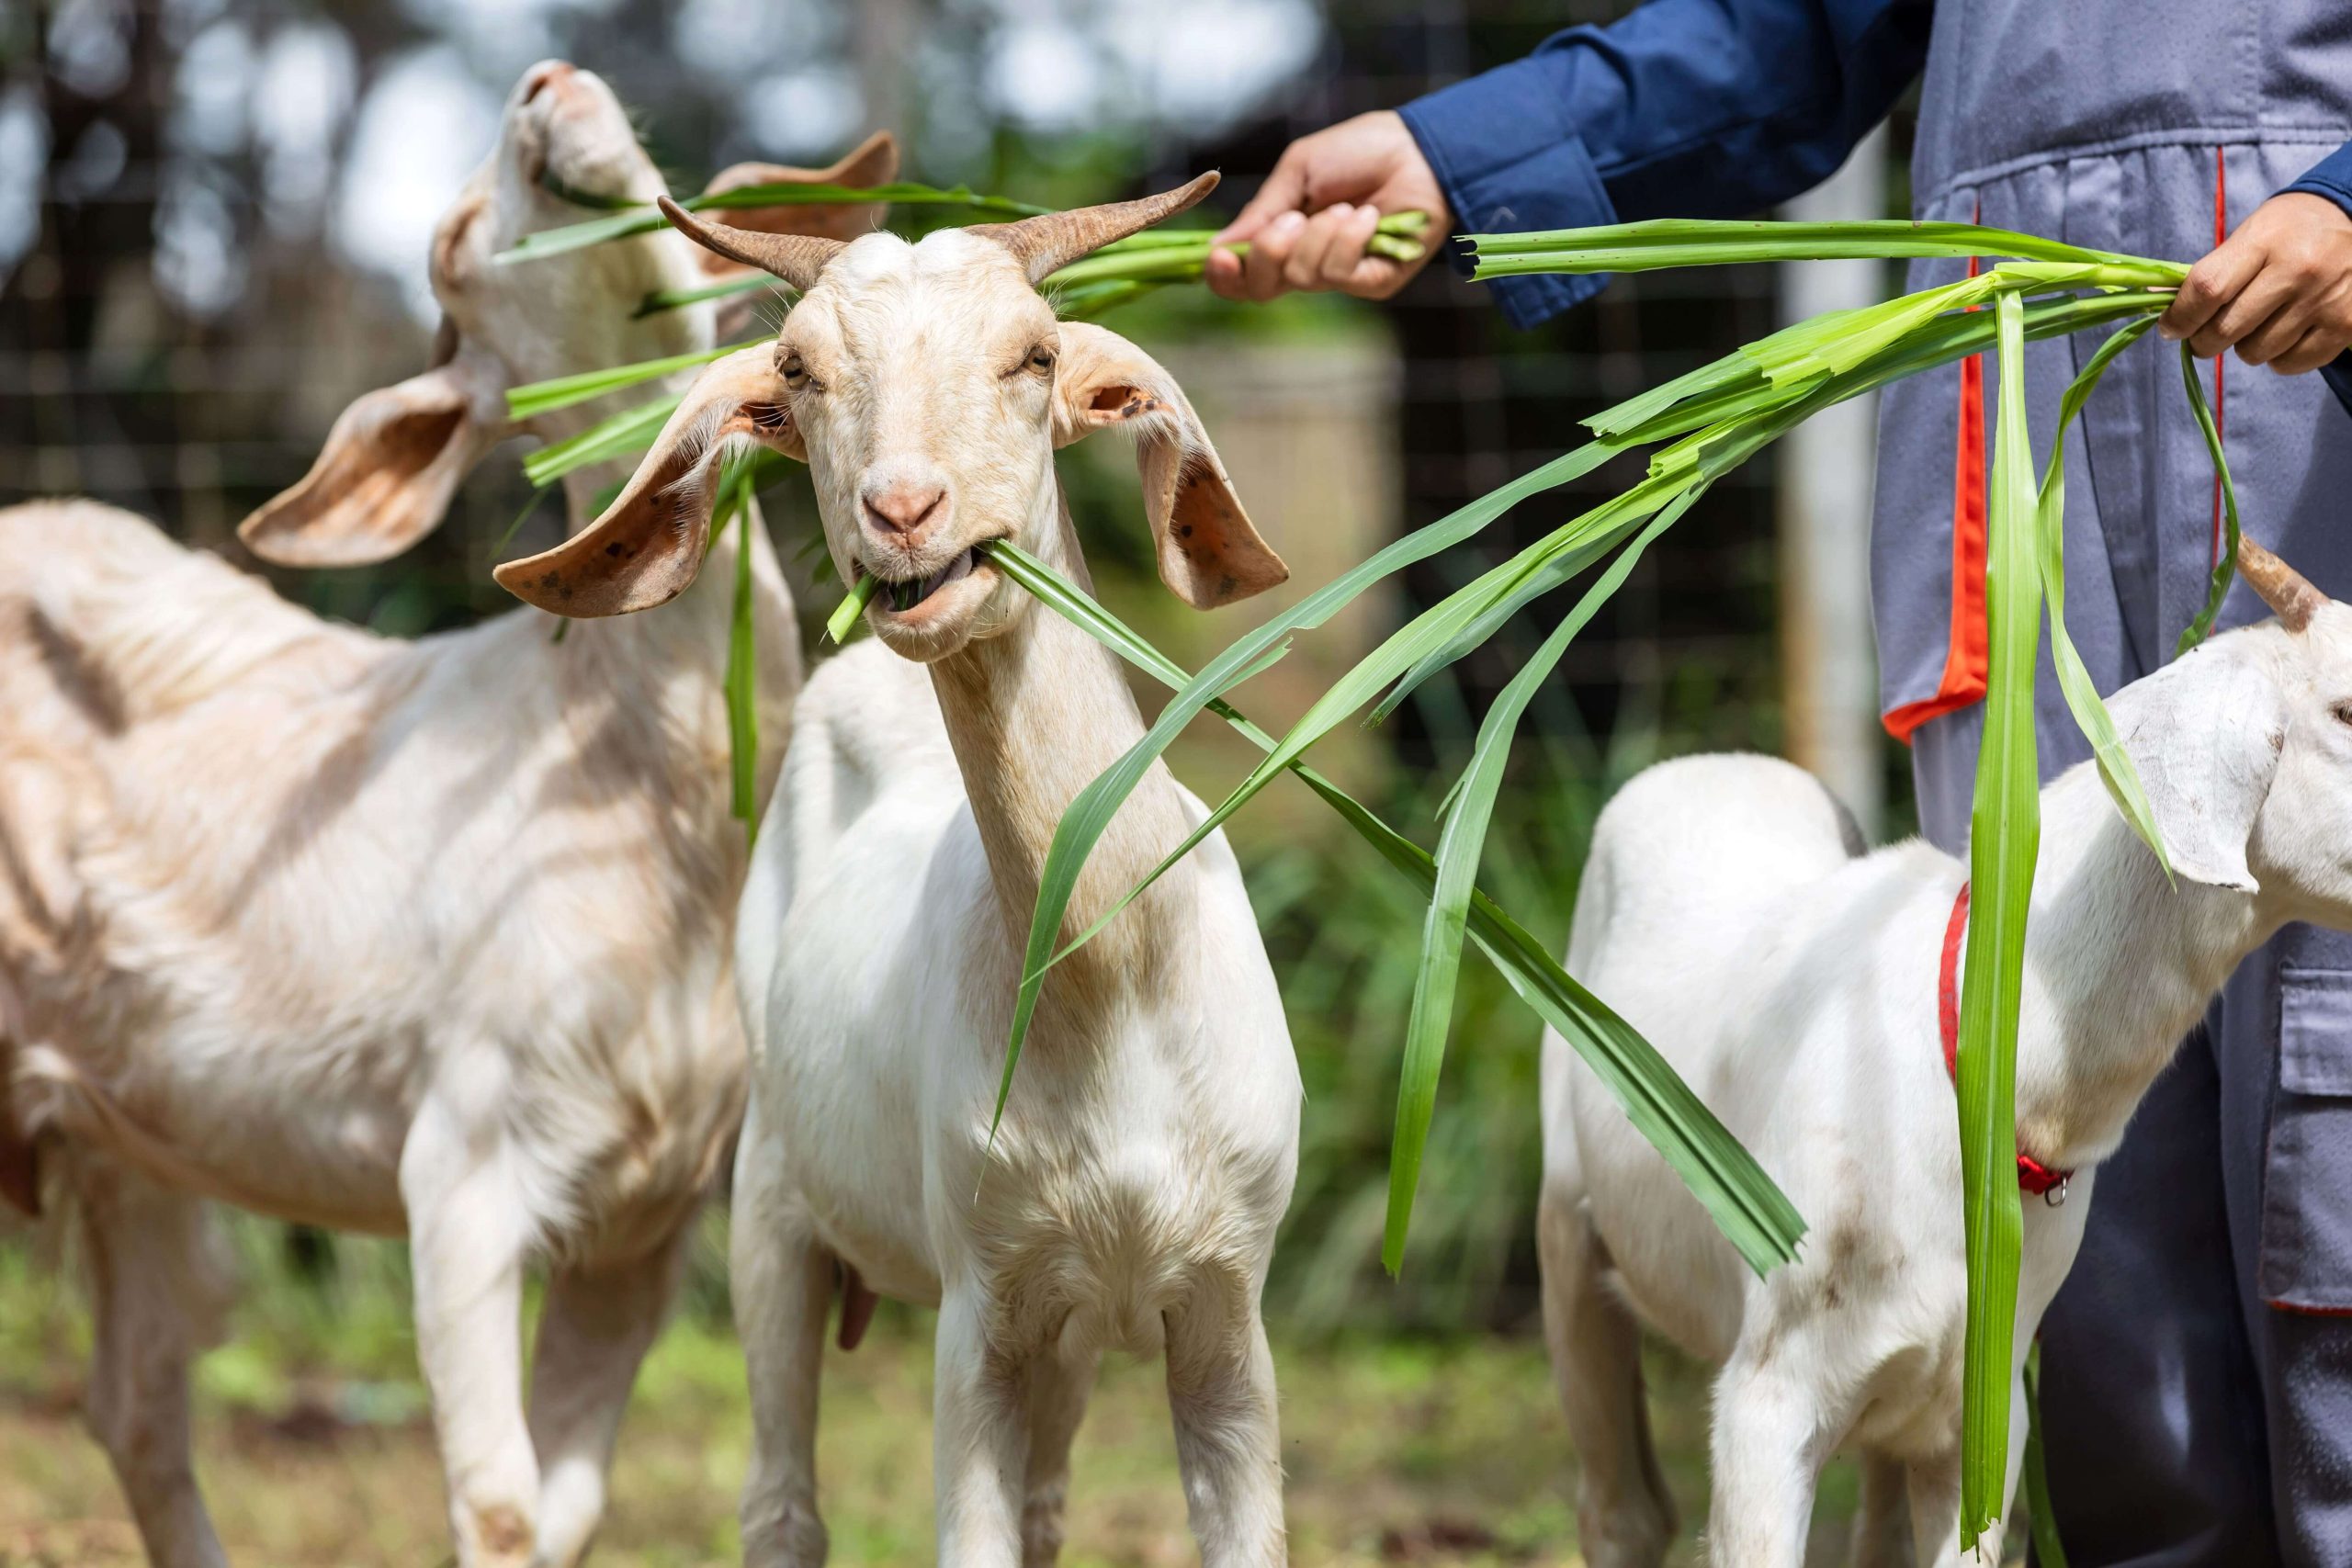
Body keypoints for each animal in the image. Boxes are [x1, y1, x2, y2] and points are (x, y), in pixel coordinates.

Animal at [0, 61, 888, 1568]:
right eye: (454, 250)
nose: (548, 81)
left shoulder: (647, 1211)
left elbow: (572, 1503)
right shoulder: (464, 1157)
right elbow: (502, 1498)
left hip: (128, 1129)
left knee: (135, 1400)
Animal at [1533, 540, 2352, 1568]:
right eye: (2344, 710)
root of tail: (1706, 764)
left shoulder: (1983, 1407)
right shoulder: (1766, 1398)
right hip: (1567, 1215)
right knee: (1621, 1505)